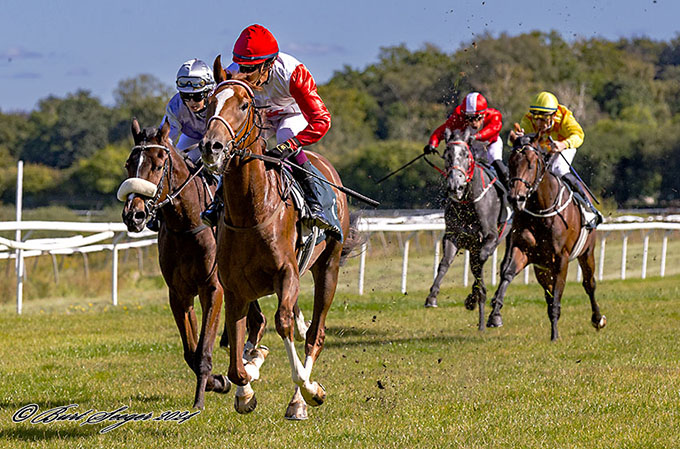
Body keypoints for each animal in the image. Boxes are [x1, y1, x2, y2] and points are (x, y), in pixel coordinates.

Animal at [117, 120, 266, 410]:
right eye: (129, 164)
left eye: (159, 164)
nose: (134, 215)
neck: (187, 225)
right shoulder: (179, 293)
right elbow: (191, 351)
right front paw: (216, 382)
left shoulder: (213, 289)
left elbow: (203, 350)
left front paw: (201, 399)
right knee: (257, 321)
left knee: (259, 322)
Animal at [199, 57, 356, 420]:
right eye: (209, 103)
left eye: (244, 105)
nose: (211, 147)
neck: (252, 211)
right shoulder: (234, 288)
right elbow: (236, 361)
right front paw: (246, 386)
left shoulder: (287, 275)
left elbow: (283, 324)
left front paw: (309, 391)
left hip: (327, 267)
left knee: (315, 333)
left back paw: (300, 400)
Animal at [422, 128, 512, 330]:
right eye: (447, 155)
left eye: (465, 154)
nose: (455, 186)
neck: (468, 202)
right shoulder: (453, 236)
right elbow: (445, 263)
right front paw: (432, 296)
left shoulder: (490, 237)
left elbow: (480, 262)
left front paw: (477, 296)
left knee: (503, 268)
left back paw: (494, 314)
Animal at [486, 130, 608, 340]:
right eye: (511, 162)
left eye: (531, 164)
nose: (515, 198)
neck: (541, 208)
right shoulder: (524, 250)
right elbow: (508, 274)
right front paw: (495, 314)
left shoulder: (561, 259)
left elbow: (559, 295)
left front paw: (555, 335)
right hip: (542, 267)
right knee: (549, 292)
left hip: (587, 252)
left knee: (589, 284)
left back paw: (597, 319)